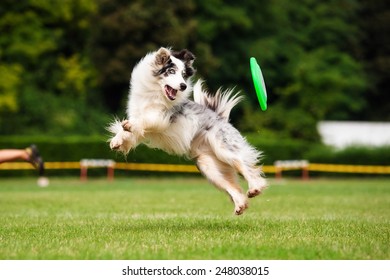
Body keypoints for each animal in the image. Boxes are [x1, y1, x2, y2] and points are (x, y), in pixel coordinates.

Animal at [109, 47, 268, 214]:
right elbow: (128, 131)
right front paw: (117, 140)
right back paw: (240, 205)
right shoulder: (139, 120)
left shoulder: (162, 117)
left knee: (244, 165)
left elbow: (144, 120)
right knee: (232, 186)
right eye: (171, 71)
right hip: (208, 166)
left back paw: (255, 187)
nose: (183, 86)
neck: (154, 93)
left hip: (224, 149)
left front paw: (129, 126)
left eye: (184, 74)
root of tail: (220, 118)